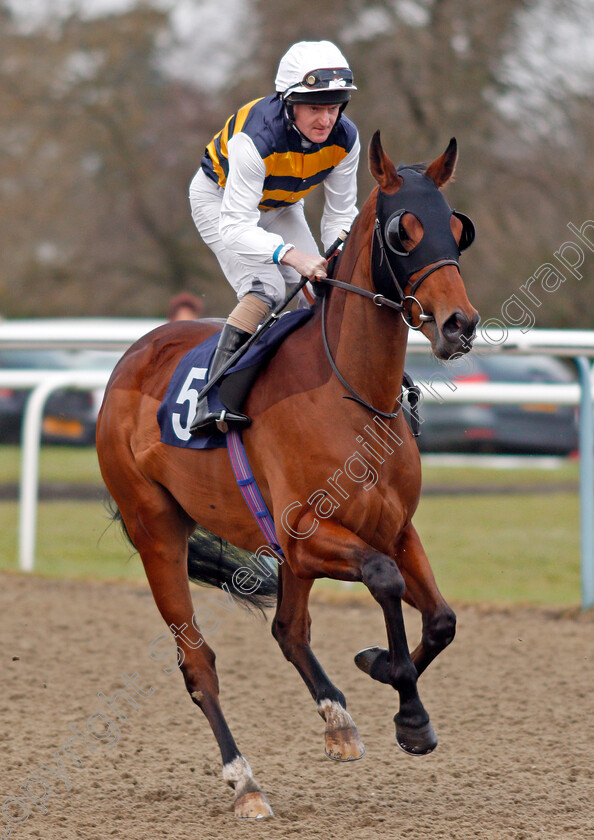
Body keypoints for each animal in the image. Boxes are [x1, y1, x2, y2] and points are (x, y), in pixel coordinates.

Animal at [96, 133, 476, 820]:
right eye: (404, 231)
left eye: (458, 231)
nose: (460, 324)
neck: (353, 394)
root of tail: (128, 360)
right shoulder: (307, 535)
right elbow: (384, 581)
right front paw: (407, 709)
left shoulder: (393, 528)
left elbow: (440, 618)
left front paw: (380, 666)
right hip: (156, 528)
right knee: (199, 663)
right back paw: (245, 782)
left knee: (287, 628)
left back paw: (338, 722)